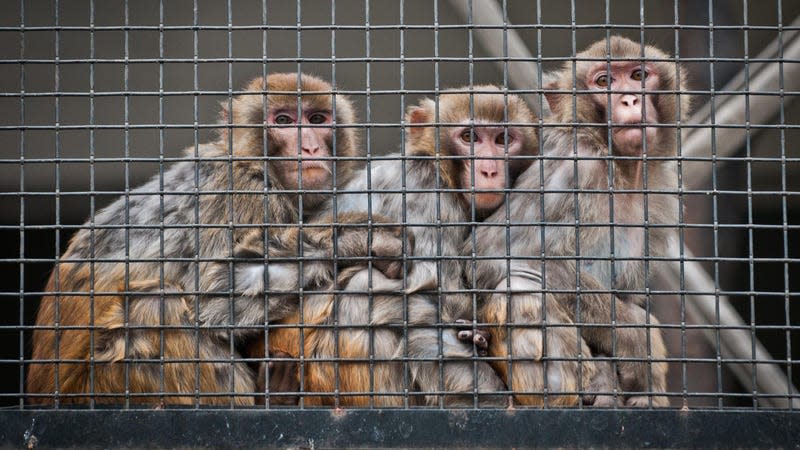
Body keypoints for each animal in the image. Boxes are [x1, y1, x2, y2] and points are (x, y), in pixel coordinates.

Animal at [26, 72, 406, 406]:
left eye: (316, 119)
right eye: (283, 120)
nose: (309, 147)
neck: (256, 165)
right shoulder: (245, 196)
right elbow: (213, 297)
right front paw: (356, 237)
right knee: (157, 304)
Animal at [468, 35, 688, 408]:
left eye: (638, 75)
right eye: (604, 82)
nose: (629, 98)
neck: (621, 171)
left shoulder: (660, 195)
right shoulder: (575, 170)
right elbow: (494, 255)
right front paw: (640, 342)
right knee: (519, 286)